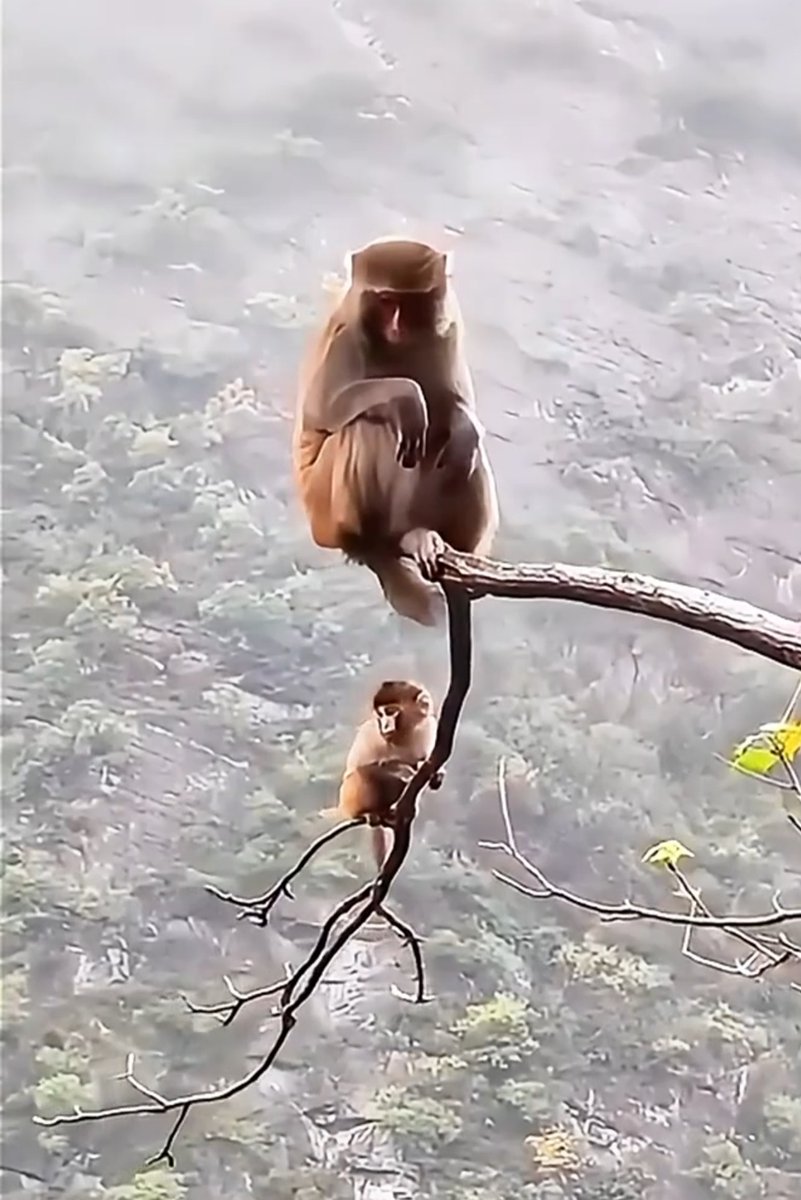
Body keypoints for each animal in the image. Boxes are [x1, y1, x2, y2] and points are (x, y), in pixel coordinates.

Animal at [293, 236, 499, 626]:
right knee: (365, 427)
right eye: (387, 300)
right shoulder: (347, 334)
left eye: (411, 303)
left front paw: (465, 426)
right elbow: (322, 409)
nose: (397, 326)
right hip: (324, 509)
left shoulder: (449, 328)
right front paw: (404, 394)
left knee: (462, 453)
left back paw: (438, 543)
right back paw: (374, 544)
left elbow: (456, 405)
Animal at [333, 680, 444, 867]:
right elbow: (359, 770)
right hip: (349, 800)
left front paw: (434, 775)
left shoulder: (429, 726)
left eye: (391, 712)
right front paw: (406, 771)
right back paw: (369, 813)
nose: (385, 724)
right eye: (381, 714)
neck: (406, 734)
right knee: (361, 776)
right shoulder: (372, 732)